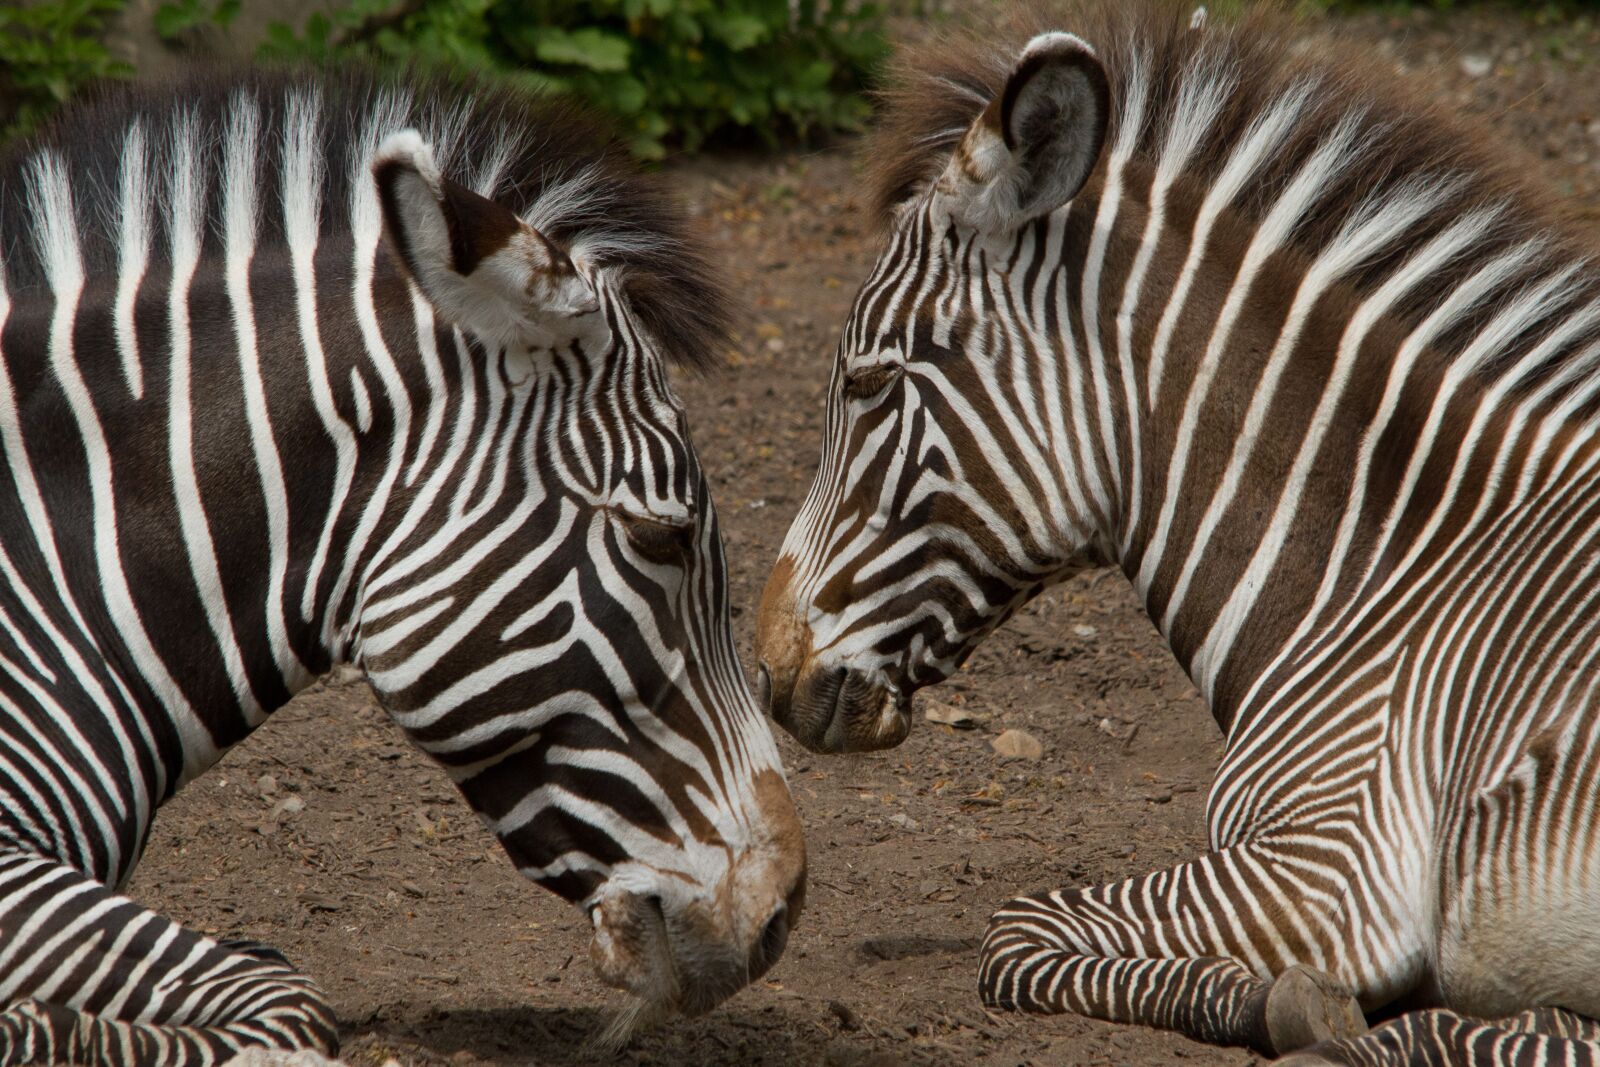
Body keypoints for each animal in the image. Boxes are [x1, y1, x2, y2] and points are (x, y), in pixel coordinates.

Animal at [756, 3, 1600, 1064]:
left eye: (869, 382)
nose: (766, 667)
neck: (1392, 568)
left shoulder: (1335, 855)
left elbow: (1013, 930)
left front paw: (1279, 1004)